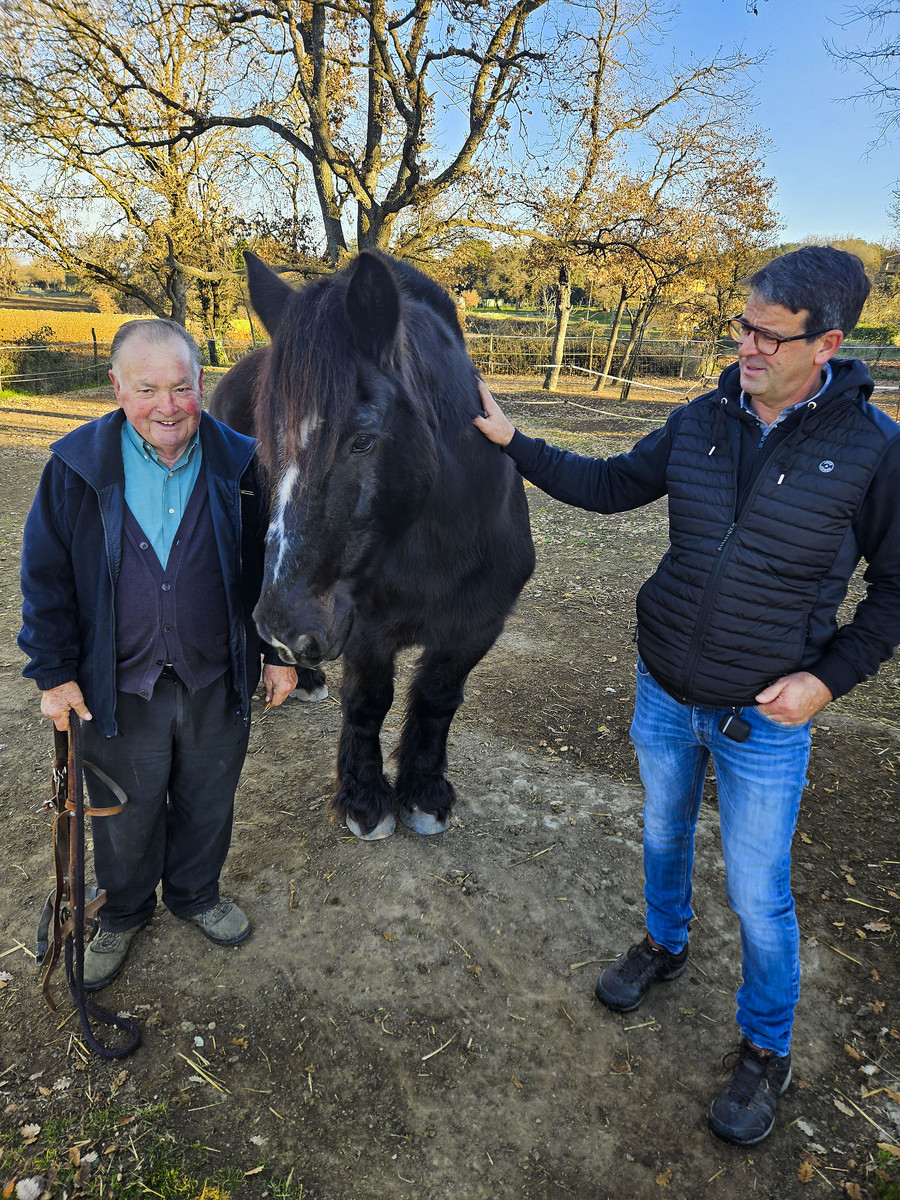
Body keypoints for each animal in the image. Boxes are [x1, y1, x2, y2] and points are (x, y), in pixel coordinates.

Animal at [211, 249, 535, 840]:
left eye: (362, 440)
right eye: (268, 443)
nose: (287, 628)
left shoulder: (475, 627)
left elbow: (436, 700)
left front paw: (425, 793)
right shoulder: (364, 628)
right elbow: (368, 703)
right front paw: (365, 800)